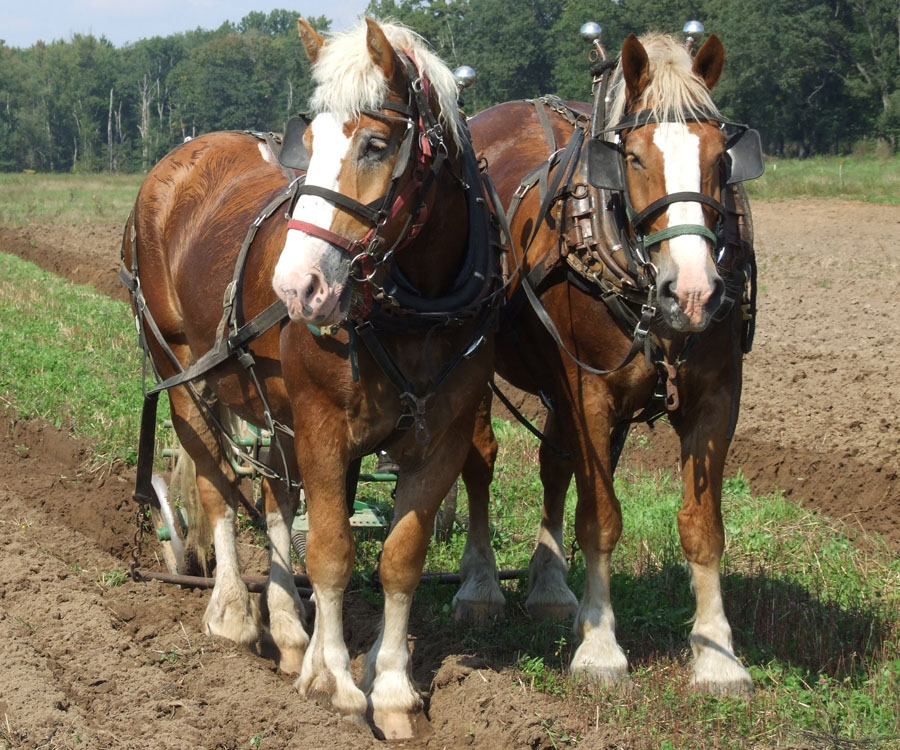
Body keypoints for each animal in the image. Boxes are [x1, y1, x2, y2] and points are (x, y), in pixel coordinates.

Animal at [122, 18, 498, 739]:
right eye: (313, 141)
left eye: (377, 143)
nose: (296, 287)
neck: (414, 308)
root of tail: (182, 157)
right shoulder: (323, 423)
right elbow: (329, 552)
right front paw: (336, 685)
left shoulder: (441, 437)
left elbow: (398, 559)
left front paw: (389, 689)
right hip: (182, 374)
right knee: (216, 483)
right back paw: (233, 613)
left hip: (272, 402)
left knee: (274, 499)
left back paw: (290, 628)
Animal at [454, 32, 760, 694]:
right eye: (636, 159)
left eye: (722, 158)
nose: (692, 292)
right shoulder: (587, 391)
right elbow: (600, 518)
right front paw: (599, 648)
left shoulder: (716, 396)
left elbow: (702, 526)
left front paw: (717, 655)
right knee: (479, 461)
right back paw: (481, 585)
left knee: (554, 465)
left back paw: (548, 587)